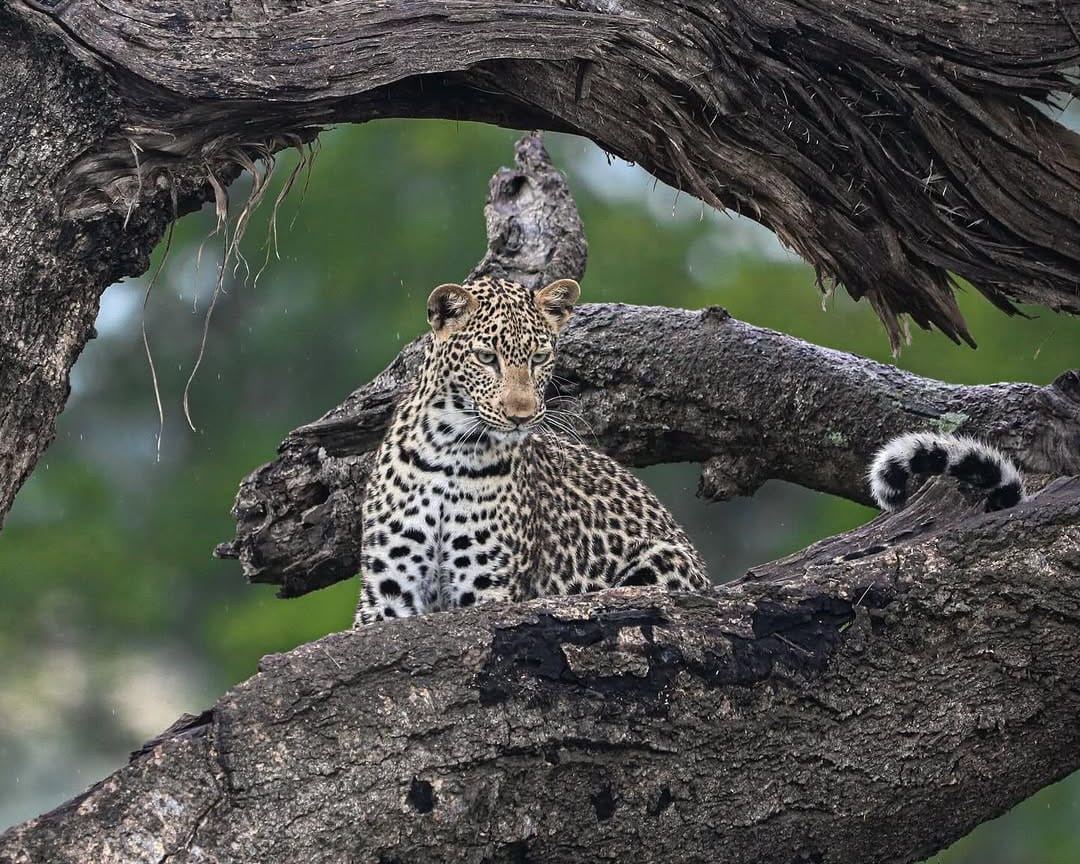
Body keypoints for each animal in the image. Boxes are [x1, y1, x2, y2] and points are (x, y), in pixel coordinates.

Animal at [355, 275, 1025, 625]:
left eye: (540, 357)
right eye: (487, 358)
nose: (523, 415)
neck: (452, 450)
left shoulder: (488, 591)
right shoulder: (386, 596)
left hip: (659, 566)